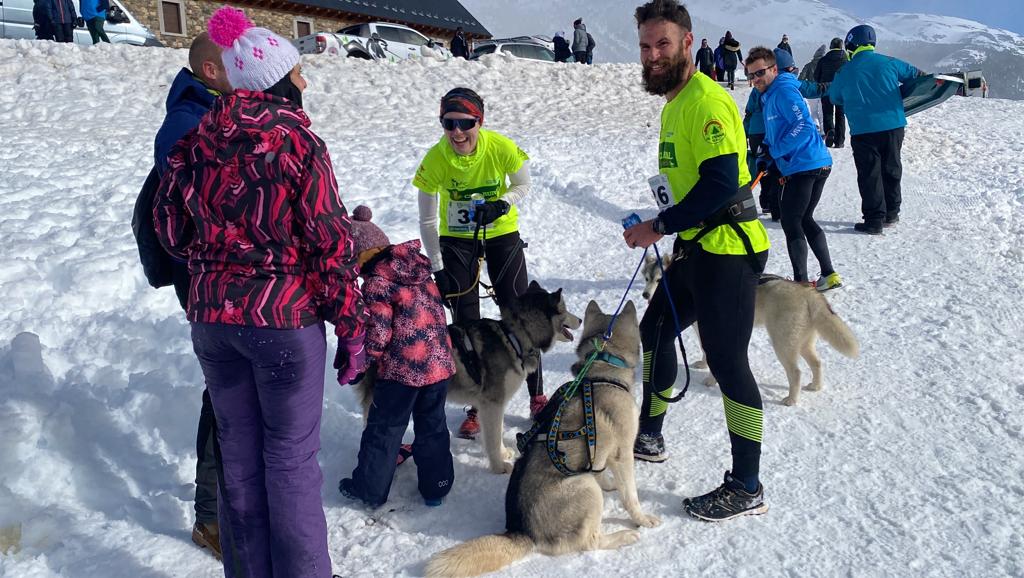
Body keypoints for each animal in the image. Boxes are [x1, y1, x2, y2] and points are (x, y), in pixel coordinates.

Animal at [354, 280, 581, 473]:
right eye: (564, 309)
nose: (579, 319)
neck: (515, 337)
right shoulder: (492, 403)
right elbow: (492, 437)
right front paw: (499, 466)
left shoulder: (493, 405)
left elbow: (497, 432)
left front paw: (503, 453)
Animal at [425, 301, 659, 573]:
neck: (600, 370)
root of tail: (523, 531)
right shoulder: (623, 454)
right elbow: (631, 496)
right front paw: (642, 518)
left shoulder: (600, 451)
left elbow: (601, 470)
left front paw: (609, 483)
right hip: (585, 487)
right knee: (590, 541)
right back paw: (624, 536)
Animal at [638, 253, 856, 405]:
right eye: (647, 278)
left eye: (659, 280)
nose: (645, 295)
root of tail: (808, 293)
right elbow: (704, 353)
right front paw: (703, 364)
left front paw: (710, 379)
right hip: (802, 343)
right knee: (817, 363)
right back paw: (816, 386)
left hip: (783, 344)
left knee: (796, 372)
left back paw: (791, 400)